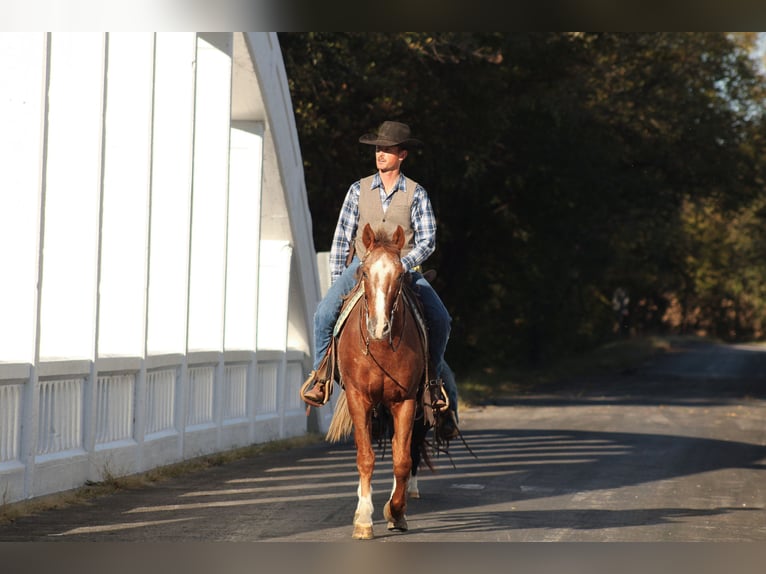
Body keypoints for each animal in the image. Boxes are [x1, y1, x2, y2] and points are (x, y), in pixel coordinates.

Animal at [325, 223, 430, 539]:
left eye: (400, 274)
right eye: (364, 273)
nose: (379, 327)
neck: (382, 347)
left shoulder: (405, 401)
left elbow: (402, 459)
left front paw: (396, 511)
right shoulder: (359, 399)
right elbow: (366, 458)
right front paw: (363, 520)